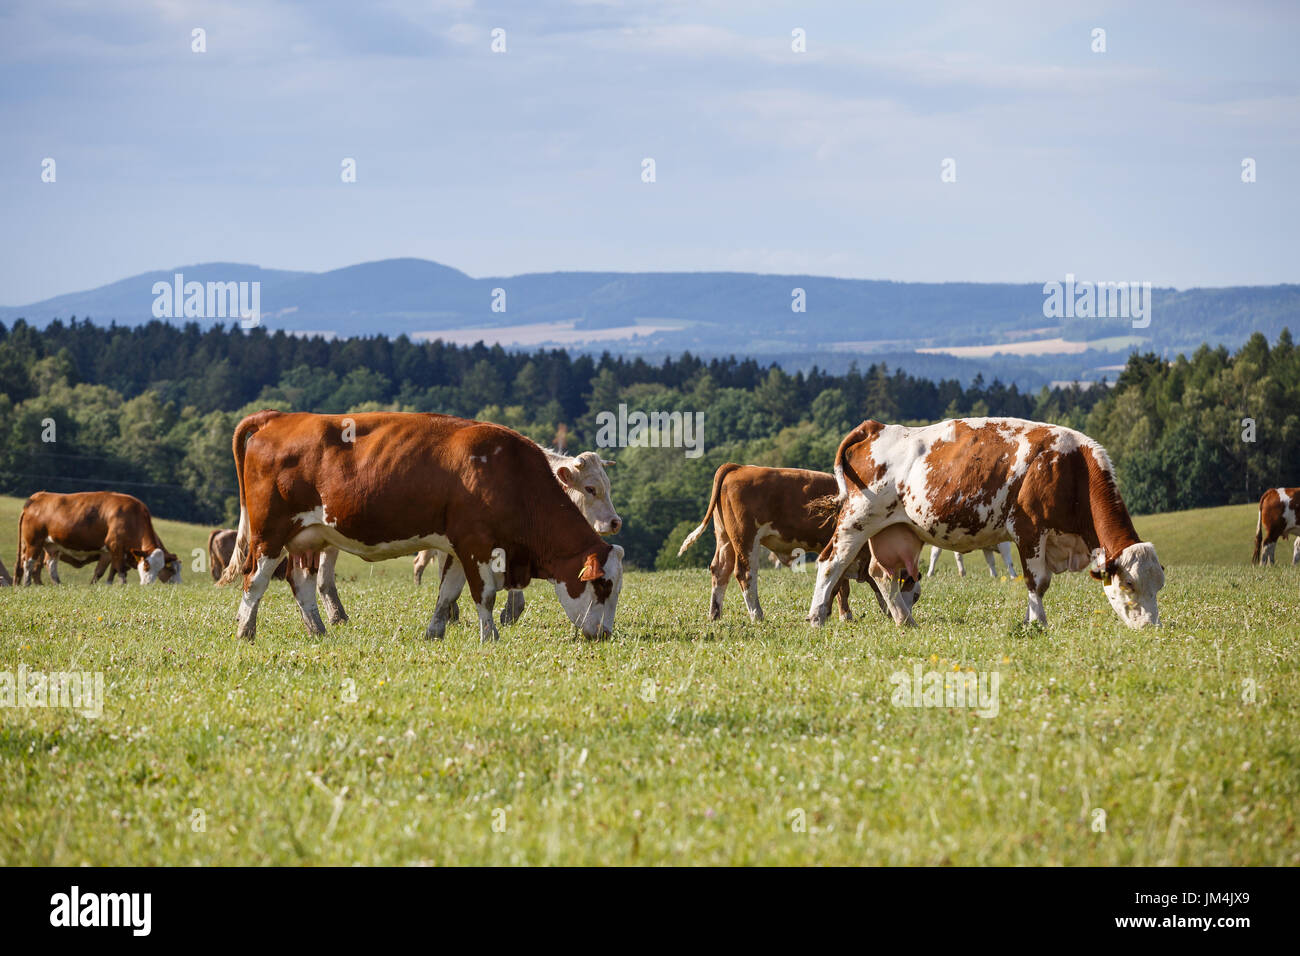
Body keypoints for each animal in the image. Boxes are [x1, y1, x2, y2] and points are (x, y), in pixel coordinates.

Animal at [16, 491, 183, 586]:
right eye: (147, 565)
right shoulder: (115, 546)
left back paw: (58, 584)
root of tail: (38, 497)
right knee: (29, 563)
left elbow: (104, 572)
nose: (148, 584)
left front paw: (100, 586)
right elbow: (120, 571)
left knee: (50, 564)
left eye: (161, 567)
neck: (133, 517)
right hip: (33, 542)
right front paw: (122, 586)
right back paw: (27, 584)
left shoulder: (109, 552)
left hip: (53, 546)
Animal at [676, 464, 909, 622]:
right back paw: (757, 615)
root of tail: (740, 467)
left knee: (720, 570)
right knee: (744, 573)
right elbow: (840, 585)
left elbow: (841, 585)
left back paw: (715, 614)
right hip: (745, 538)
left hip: (725, 538)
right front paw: (841, 615)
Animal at [808, 418, 1164, 629]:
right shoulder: (1028, 530)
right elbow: (1037, 582)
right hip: (858, 518)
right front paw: (1038, 624)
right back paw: (817, 617)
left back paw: (905, 620)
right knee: (831, 562)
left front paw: (1029, 621)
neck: (1070, 468)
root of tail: (877, 427)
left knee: (883, 574)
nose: (1152, 626)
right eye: (1128, 583)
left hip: (896, 529)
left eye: (1159, 585)